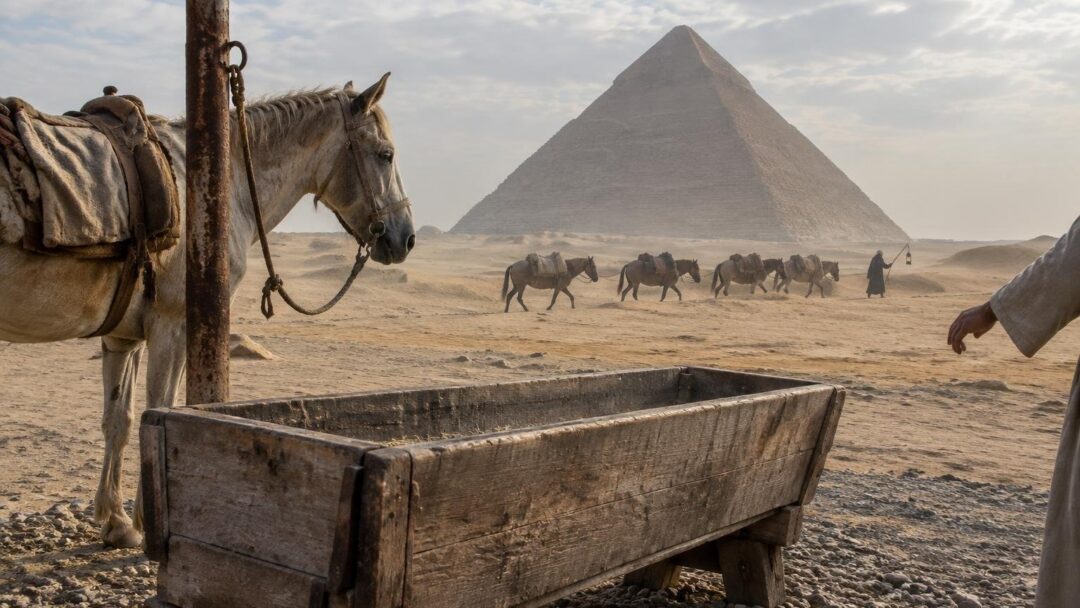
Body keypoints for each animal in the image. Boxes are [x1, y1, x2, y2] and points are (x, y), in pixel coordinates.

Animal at [0, 77, 415, 548]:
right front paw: (147, 521)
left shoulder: (123, 336)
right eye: (386, 154)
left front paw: (116, 522)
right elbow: (157, 412)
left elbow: (118, 419)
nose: (405, 238)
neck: (217, 191)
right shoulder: (173, 326)